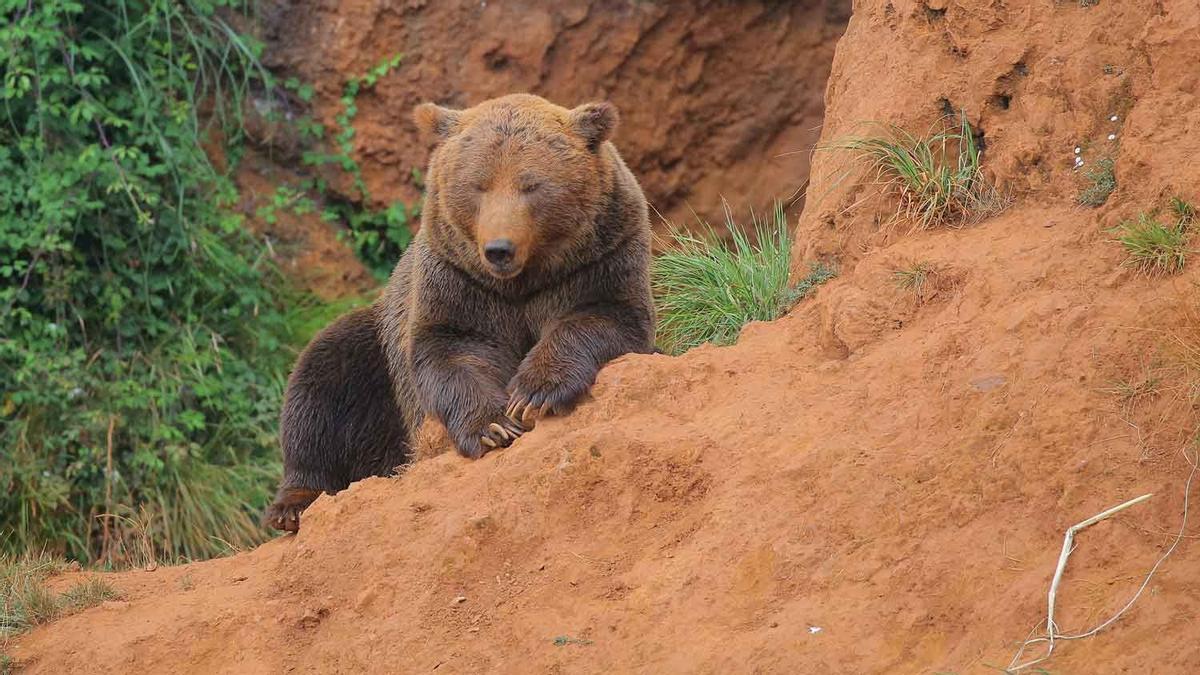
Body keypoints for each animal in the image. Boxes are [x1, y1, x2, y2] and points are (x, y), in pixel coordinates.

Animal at [265, 91, 657, 528]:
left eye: (531, 185)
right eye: (478, 185)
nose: (499, 248)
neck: (523, 281)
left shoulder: (598, 260)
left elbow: (605, 318)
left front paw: (535, 391)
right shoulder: (458, 279)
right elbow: (456, 350)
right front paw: (494, 425)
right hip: (378, 365)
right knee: (321, 380)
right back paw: (294, 505)